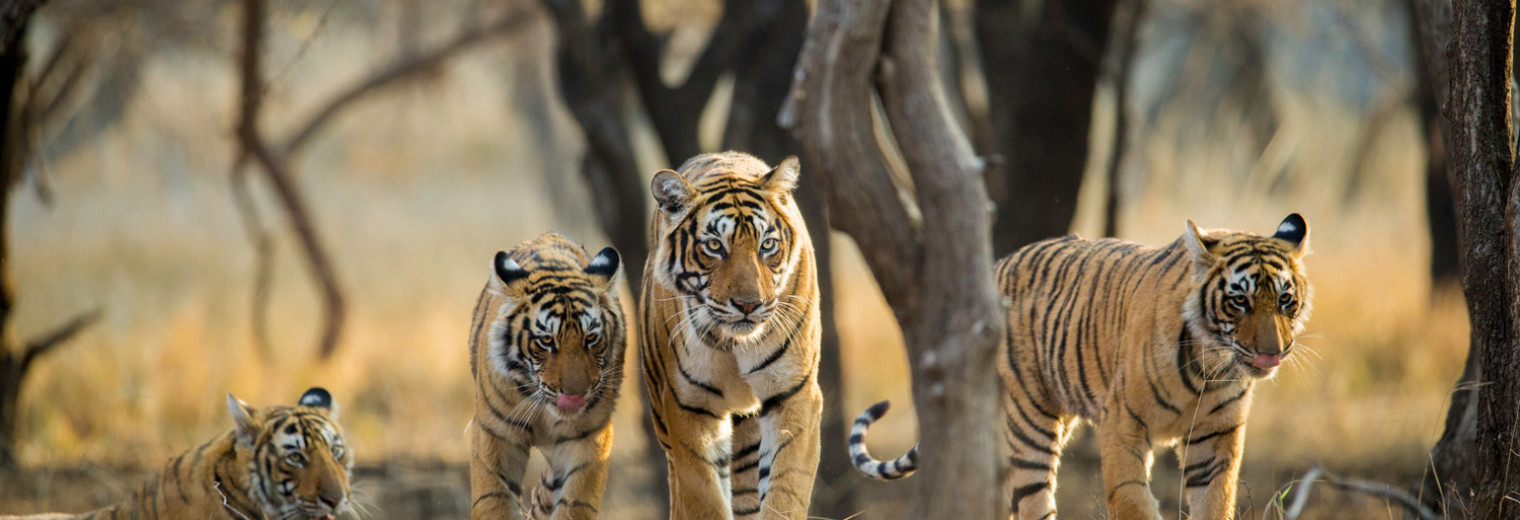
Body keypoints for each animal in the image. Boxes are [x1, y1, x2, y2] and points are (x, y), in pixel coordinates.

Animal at [465, 232, 626, 520]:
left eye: (591, 338)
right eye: (547, 341)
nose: (575, 395)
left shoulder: (588, 435)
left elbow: (576, 501)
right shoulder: (495, 432)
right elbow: (494, 499)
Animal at [638, 151, 826, 520]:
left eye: (767, 245)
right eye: (714, 246)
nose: (748, 304)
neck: (734, 342)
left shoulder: (793, 394)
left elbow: (785, 488)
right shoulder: (688, 405)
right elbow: (704, 498)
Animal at [851, 214, 1313, 520]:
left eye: (1285, 300)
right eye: (1240, 301)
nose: (1273, 352)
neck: (1211, 367)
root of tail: (997, 266)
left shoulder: (1216, 435)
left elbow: (1215, 501)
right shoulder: (1123, 423)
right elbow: (1131, 500)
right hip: (1029, 422)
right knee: (1033, 501)